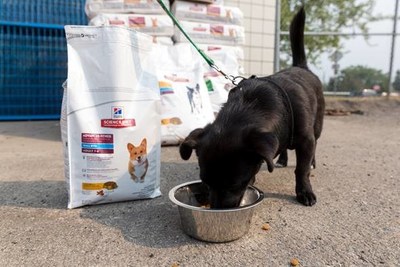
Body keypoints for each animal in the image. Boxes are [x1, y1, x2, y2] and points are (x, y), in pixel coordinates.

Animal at [180, 7, 324, 209]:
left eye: (234, 185)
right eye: (206, 182)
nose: (217, 209)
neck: (251, 105)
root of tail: (301, 67)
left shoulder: (306, 140)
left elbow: (301, 169)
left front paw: (304, 191)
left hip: (317, 126)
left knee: (315, 144)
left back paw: (312, 162)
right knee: (283, 147)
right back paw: (281, 159)